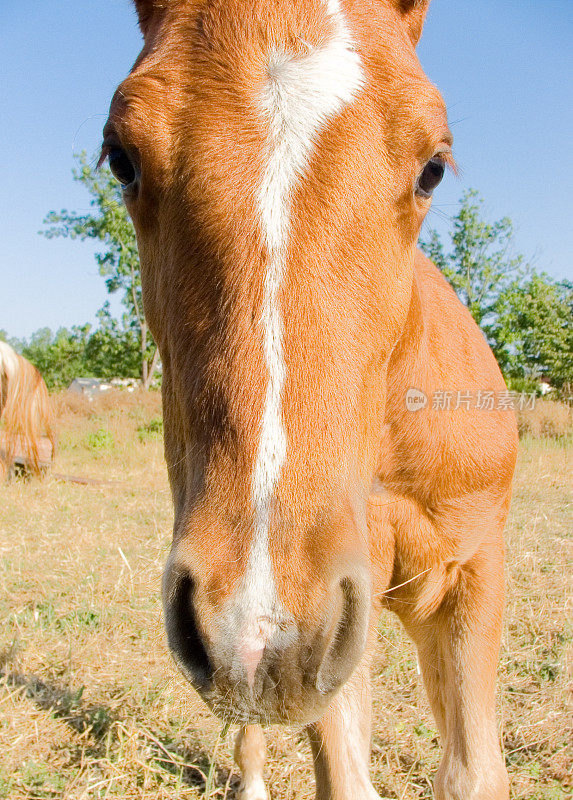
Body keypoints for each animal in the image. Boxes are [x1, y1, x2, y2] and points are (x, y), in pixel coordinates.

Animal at [103, 3, 520, 796]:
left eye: (432, 167)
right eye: (121, 159)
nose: (264, 634)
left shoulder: (469, 578)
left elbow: (472, 770)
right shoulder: (332, 625)